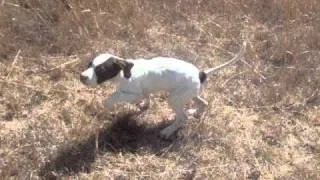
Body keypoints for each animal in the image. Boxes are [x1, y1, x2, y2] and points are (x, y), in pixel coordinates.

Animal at [80, 41, 248, 138]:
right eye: (89, 64)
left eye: (101, 70)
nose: (82, 77)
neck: (123, 72)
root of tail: (201, 73)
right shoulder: (143, 92)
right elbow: (146, 98)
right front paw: (145, 106)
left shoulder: (133, 94)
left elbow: (111, 98)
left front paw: (108, 108)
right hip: (188, 94)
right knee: (203, 103)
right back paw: (194, 112)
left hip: (174, 98)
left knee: (182, 118)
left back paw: (168, 131)